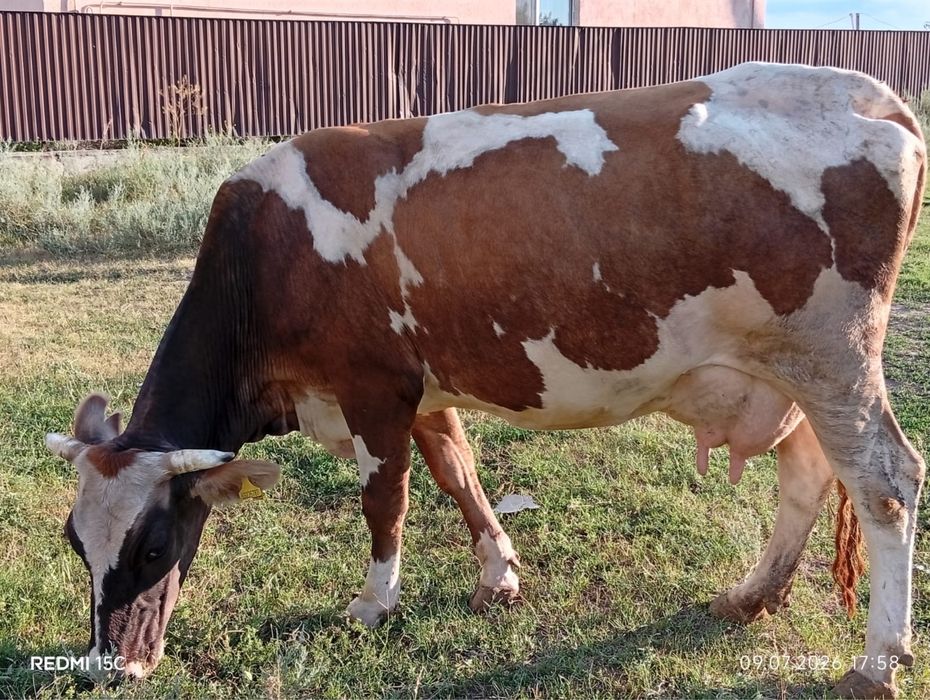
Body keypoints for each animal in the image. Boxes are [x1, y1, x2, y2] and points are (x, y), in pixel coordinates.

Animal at [45, 62, 925, 698]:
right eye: (75, 545)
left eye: (154, 546)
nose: (109, 667)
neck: (264, 262)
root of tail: (872, 95)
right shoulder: (421, 387)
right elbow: (458, 473)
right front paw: (499, 572)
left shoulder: (372, 389)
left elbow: (386, 500)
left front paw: (375, 602)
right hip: (787, 373)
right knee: (807, 473)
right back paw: (753, 595)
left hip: (834, 358)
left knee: (886, 483)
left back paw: (877, 660)